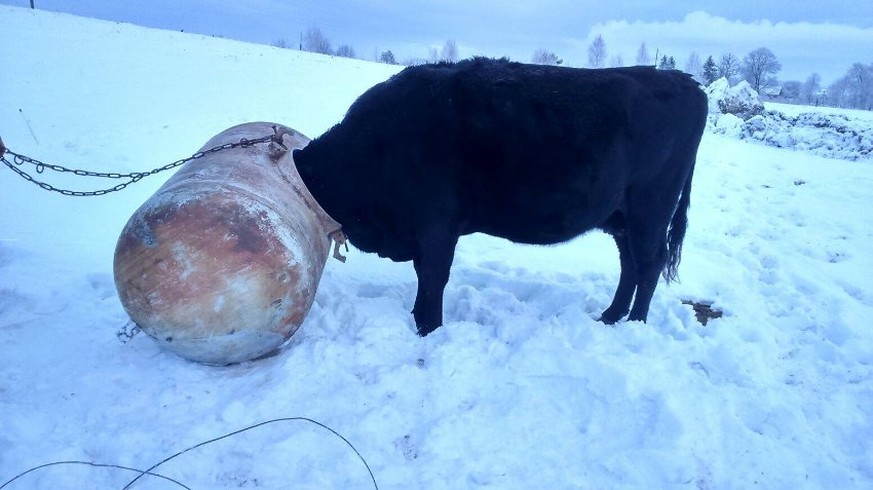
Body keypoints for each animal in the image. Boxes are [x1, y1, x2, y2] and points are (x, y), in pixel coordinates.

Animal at [292, 55, 708, 334]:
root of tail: (685, 81)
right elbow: (423, 273)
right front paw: (417, 317)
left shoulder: (437, 225)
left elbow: (433, 275)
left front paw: (430, 328)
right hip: (619, 217)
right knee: (630, 264)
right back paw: (610, 317)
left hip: (650, 209)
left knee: (650, 263)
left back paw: (635, 322)